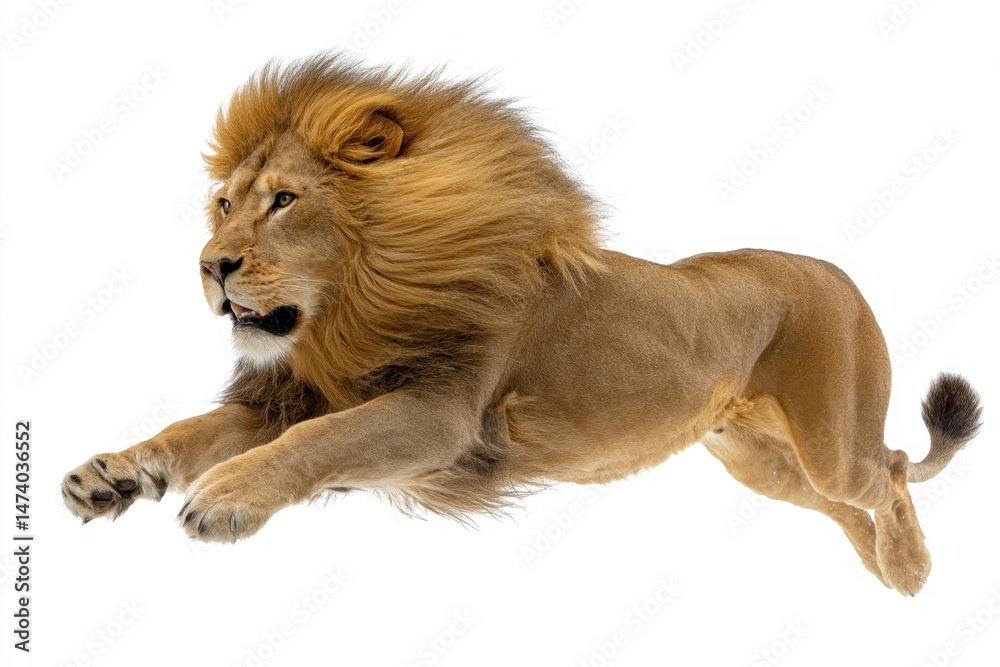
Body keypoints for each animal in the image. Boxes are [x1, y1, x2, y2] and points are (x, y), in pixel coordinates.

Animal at [61, 53, 981, 596]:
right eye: (223, 205)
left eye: (284, 201)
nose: (211, 265)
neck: (353, 306)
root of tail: (838, 272)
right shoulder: (300, 393)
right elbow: (194, 428)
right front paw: (114, 474)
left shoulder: (438, 413)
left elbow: (311, 445)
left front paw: (227, 496)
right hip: (756, 457)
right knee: (847, 500)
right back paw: (881, 569)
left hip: (829, 434)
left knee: (889, 471)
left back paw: (910, 565)